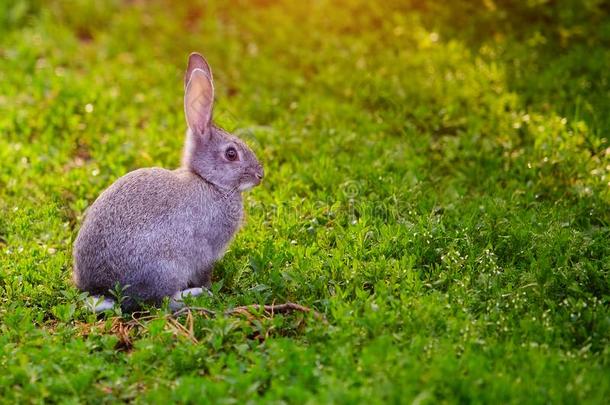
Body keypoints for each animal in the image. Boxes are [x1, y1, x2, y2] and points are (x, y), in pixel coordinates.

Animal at [72, 52, 262, 312]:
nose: (260, 175)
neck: (209, 182)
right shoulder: (206, 252)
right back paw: (196, 294)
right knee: (161, 301)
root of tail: (104, 291)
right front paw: (210, 287)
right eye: (231, 154)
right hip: (167, 268)